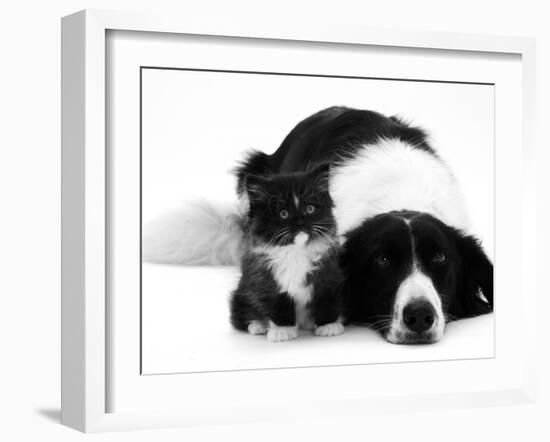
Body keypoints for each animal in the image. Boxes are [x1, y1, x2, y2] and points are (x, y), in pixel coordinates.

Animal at [232, 165, 344, 342]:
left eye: (310, 209)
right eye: (283, 214)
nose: (300, 223)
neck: (295, 251)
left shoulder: (328, 273)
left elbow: (326, 299)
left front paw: (329, 325)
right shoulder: (265, 279)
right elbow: (277, 303)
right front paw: (282, 330)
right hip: (242, 292)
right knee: (240, 315)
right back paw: (258, 325)